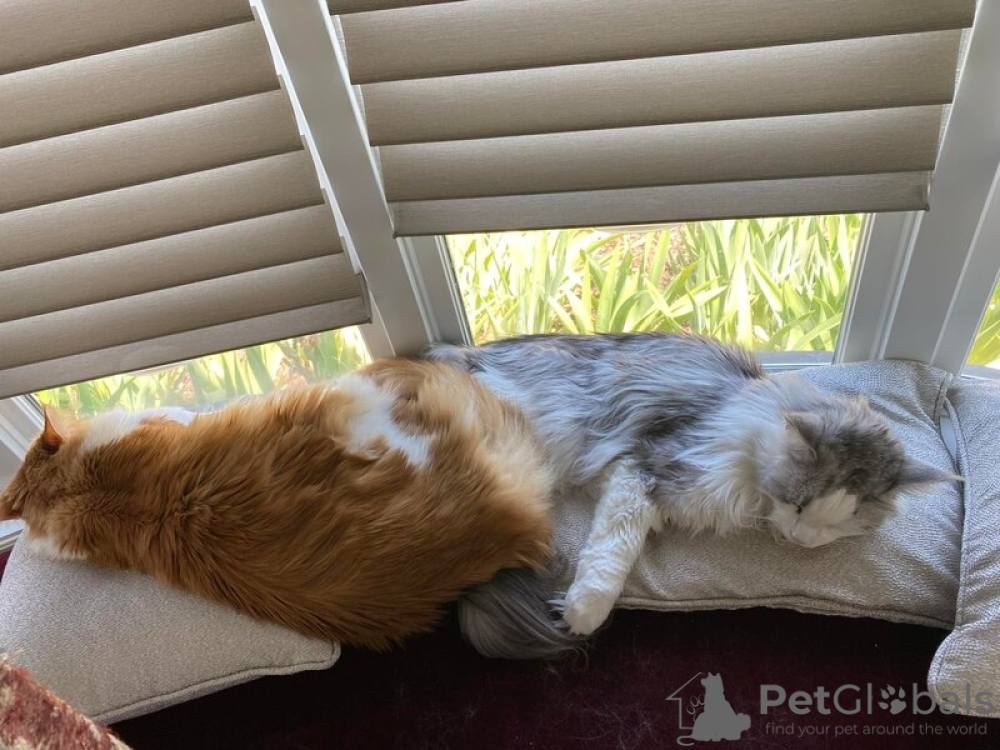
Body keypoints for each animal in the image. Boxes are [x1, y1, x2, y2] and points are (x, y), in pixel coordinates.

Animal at [428, 333, 959, 655]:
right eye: (798, 503)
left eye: (839, 523)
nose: (802, 541)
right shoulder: (645, 465)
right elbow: (613, 549)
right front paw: (584, 613)